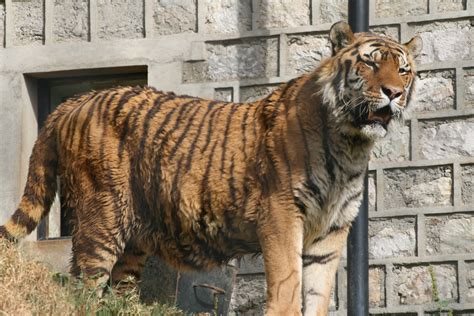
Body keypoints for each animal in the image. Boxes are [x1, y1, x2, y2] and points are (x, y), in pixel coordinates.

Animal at [0, 21, 422, 314]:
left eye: (403, 70)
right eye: (369, 63)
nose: (394, 93)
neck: (351, 142)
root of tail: (77, 101)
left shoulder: (332, 230)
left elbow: (317, 293)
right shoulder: (282, 215)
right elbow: (287, 284)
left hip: (133, 240)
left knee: (117, 294)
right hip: (100, 220)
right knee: (82, 290)